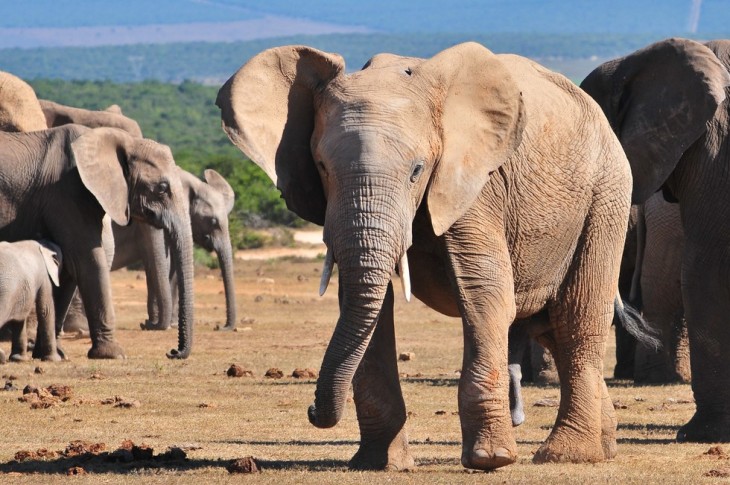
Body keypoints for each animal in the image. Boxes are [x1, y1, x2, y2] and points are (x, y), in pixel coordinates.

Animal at [215, 42, 632, 468]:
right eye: (322, 166)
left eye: (417, 170)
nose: (313, 412)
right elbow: (367, 302)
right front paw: (379, 464)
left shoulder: (473, 181)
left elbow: (484, 293)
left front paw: (490, 459)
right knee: (553, 328)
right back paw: (603, 448)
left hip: (607, 195)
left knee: (576, 320)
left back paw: (567, 455)